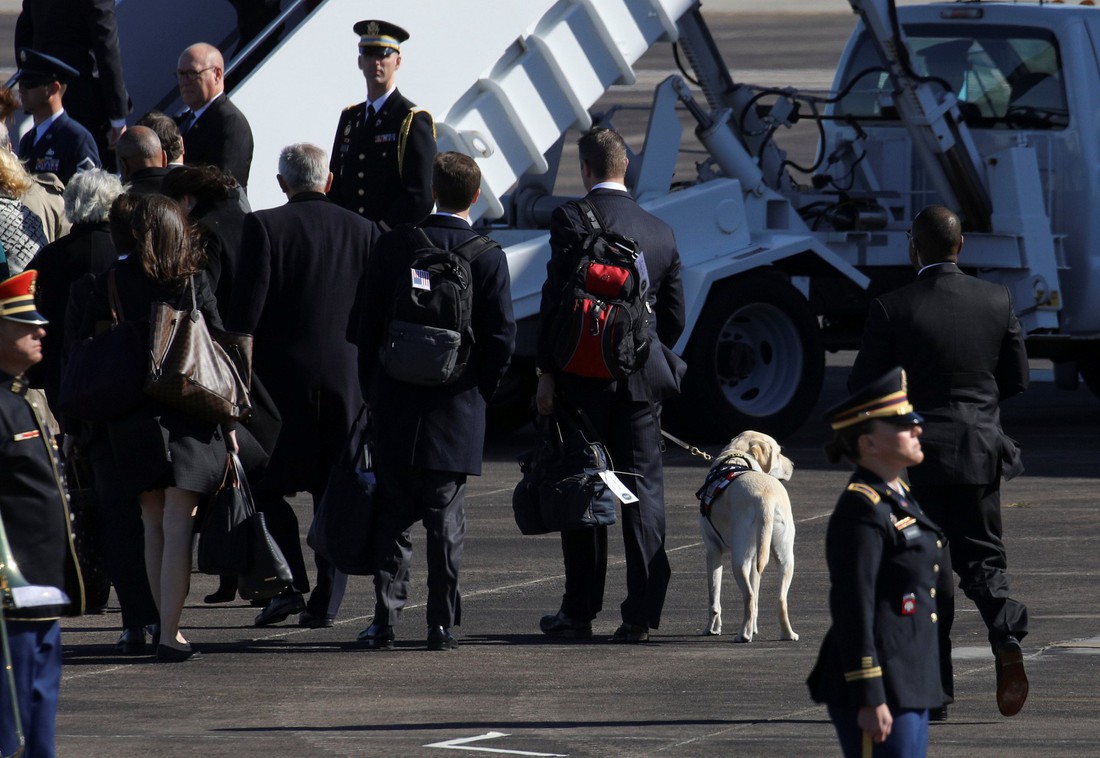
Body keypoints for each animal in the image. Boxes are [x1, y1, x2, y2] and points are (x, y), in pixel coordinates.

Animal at [699, 431, 796, 638]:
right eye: (778, 453)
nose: (793, 464)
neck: (737, 457)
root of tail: (766, 498)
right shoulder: (754, 559)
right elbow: (757, 594)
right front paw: (754, 629)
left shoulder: (712, 551)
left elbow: (714, 598)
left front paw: (712, 629)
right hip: (784, 558)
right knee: (780, 599)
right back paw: (787, 634)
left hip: (739, 560)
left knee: (749, 596)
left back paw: (743, 635)